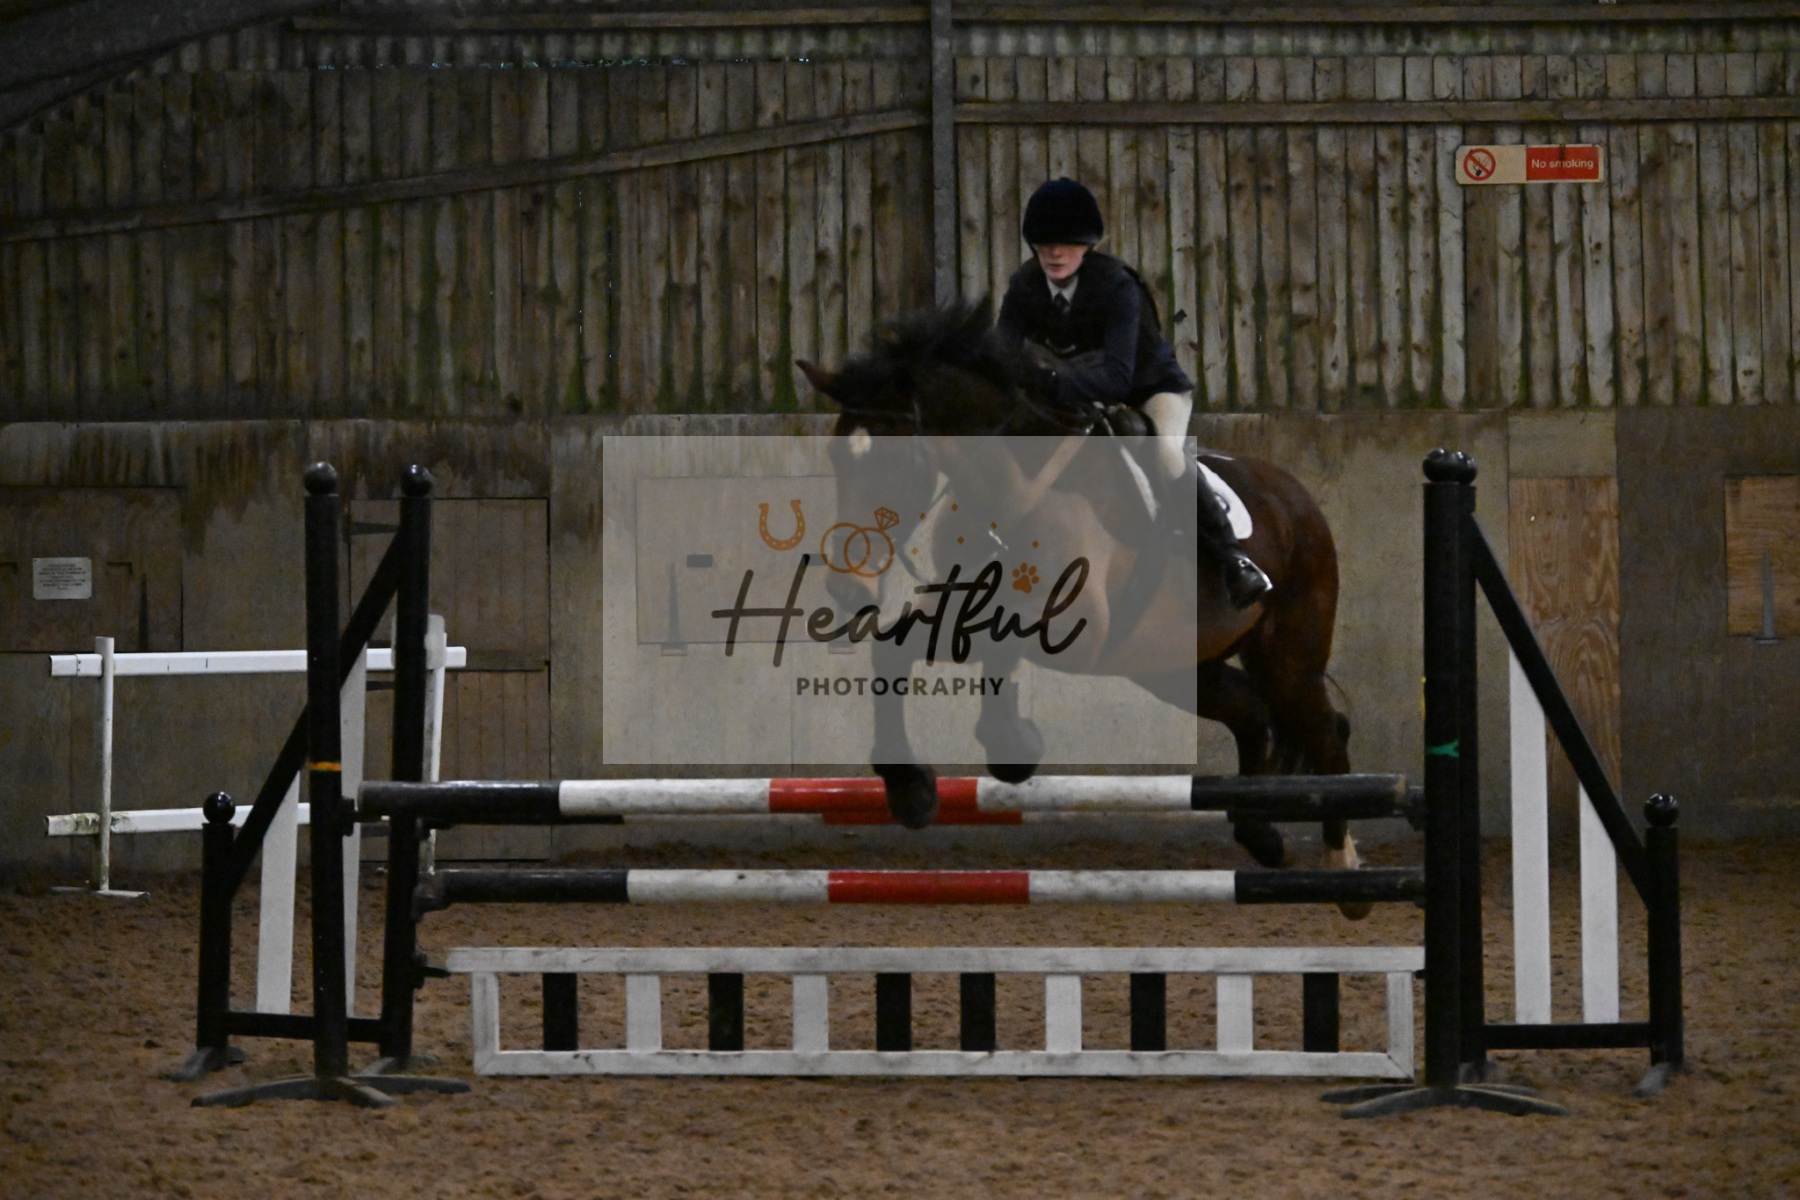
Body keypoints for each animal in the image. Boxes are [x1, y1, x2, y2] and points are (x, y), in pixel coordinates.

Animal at [796, 298, 1362, 908]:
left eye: (895, 462)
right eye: (836, 456)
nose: (847, 589)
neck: (1005, 488)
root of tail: (1297, 497)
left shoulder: (1072, 629)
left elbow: (995, 650)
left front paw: (1011, 744)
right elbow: (893, 650)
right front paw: (911, 791)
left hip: (1289, 658)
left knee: (1325, 733)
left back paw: (1345, 872)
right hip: (1175, 667)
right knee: (1253, 714)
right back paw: (1262, 836)